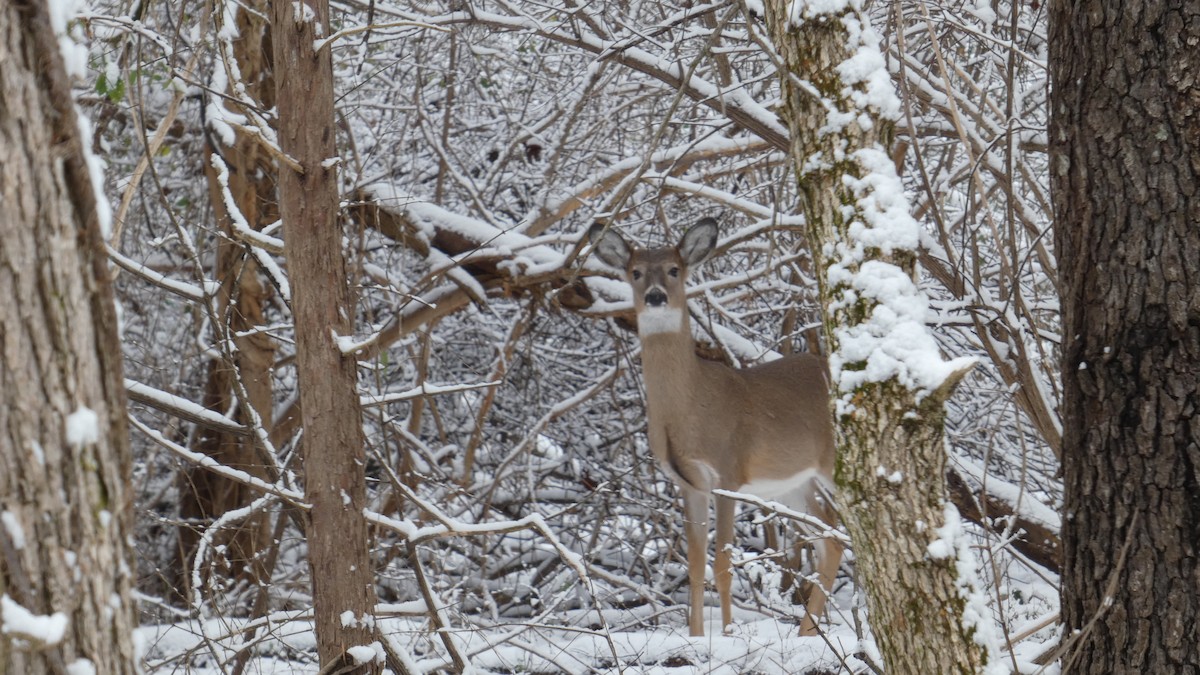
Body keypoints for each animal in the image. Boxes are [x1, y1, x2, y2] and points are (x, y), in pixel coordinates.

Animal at [587, 217, 843, 637]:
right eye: (635, 272)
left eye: (674, 269)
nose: (655, 296)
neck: (690, 409)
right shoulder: (687, 483)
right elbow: (694, 565)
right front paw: (695, 637)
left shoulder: (728, 470)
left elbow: (722, 564)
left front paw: (727, 634)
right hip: (793, 483)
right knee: (830, 540)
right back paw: (806, 633)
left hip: (833, 465)